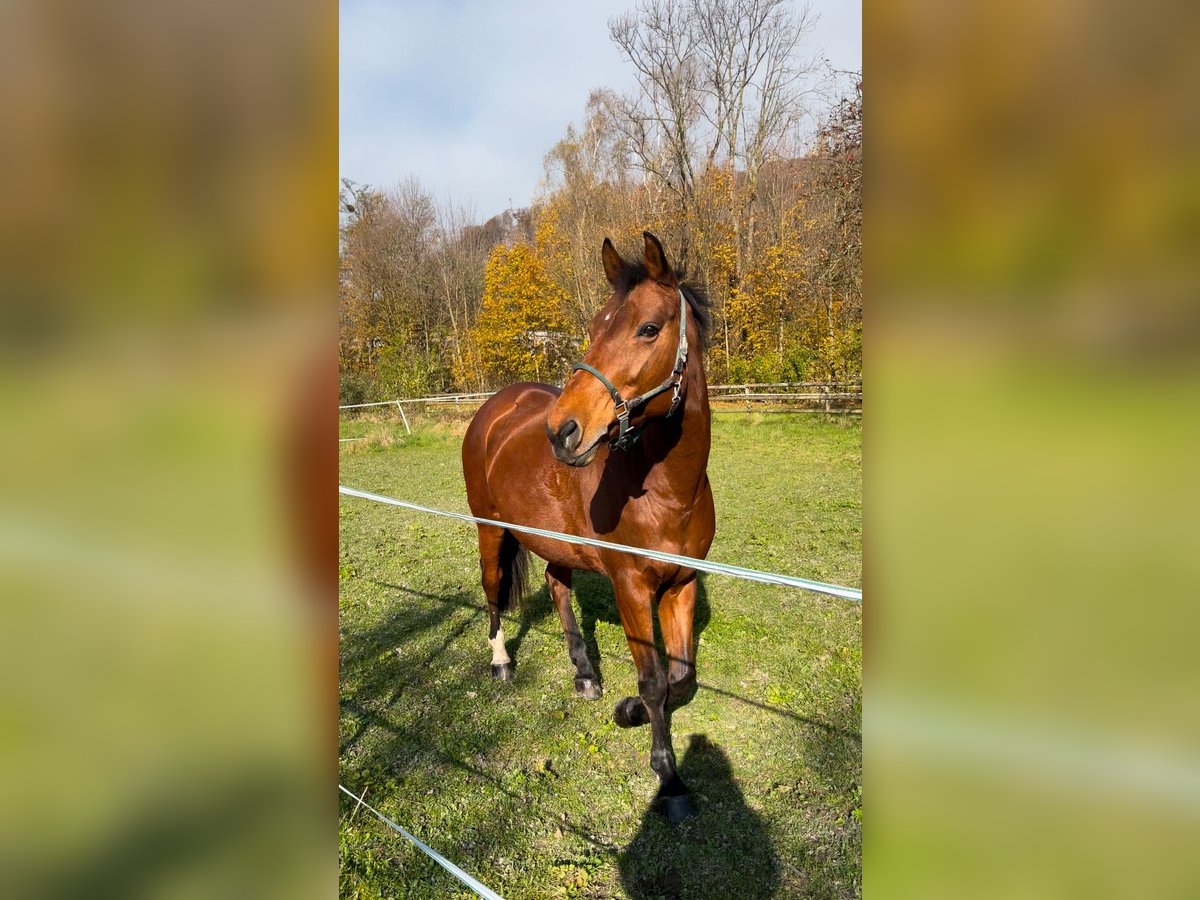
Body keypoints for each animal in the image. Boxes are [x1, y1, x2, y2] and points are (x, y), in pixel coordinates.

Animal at [458, 232, 710, 825]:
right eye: (594, 329)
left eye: (648, 328)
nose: (562, 430)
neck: (667, 493)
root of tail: (494, 411)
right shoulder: (632, 589)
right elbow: (655, 680)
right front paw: (669, 779)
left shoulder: (681, 585)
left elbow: (682, 677)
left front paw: (627, 708)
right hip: (489, 531)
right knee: (493, 593)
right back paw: (502, 663)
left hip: (555, 543)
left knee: (557, 588)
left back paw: (585, 674)